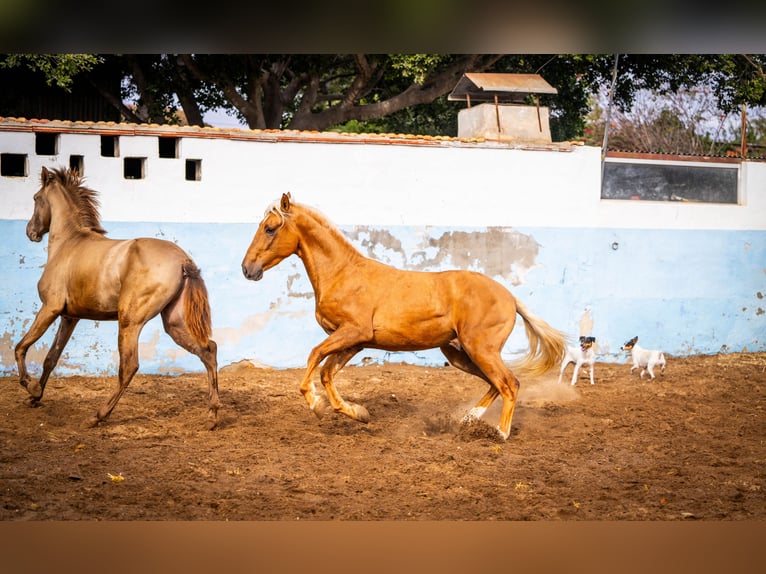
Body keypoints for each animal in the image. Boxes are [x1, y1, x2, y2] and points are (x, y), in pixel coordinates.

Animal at [14, 166, 222, 428]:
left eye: (35, 198)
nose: (30, 232)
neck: (69, 244)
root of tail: (183, 260)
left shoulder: (49, 308)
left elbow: (21, 347)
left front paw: (30, 387)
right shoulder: (69, 317)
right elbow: (51, 357)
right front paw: (36, 396)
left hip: (129, 321)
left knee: (129, 366)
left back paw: (98, 416)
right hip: (174, 323)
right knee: (208, 350)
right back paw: (213, 414)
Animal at [243, 194, 568, 440]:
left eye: (270, 228)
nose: (248, 269)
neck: (343, 274)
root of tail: (511, 298)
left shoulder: (353, 332)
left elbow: (314, 357)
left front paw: (315, 404)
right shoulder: (353, 343)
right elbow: (327, 373)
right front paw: (358, 413)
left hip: (481, 349)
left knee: (509, 384)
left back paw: (499, 433)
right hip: (459, 353)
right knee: (495, 383)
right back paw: (467, 419)